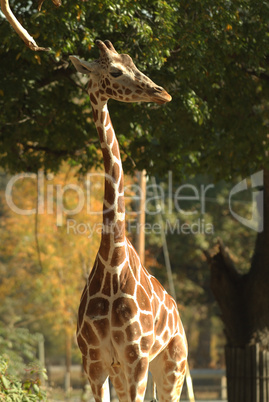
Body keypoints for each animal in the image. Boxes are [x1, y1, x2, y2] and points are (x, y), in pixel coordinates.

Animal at [69, 40, 186, 402]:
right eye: (116, 71)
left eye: (135, 63)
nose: (163, 93)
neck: (113, 260)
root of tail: (178, 316)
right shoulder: (94, 362)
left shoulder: (136, 359)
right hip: (125, 372)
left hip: (173, 368)